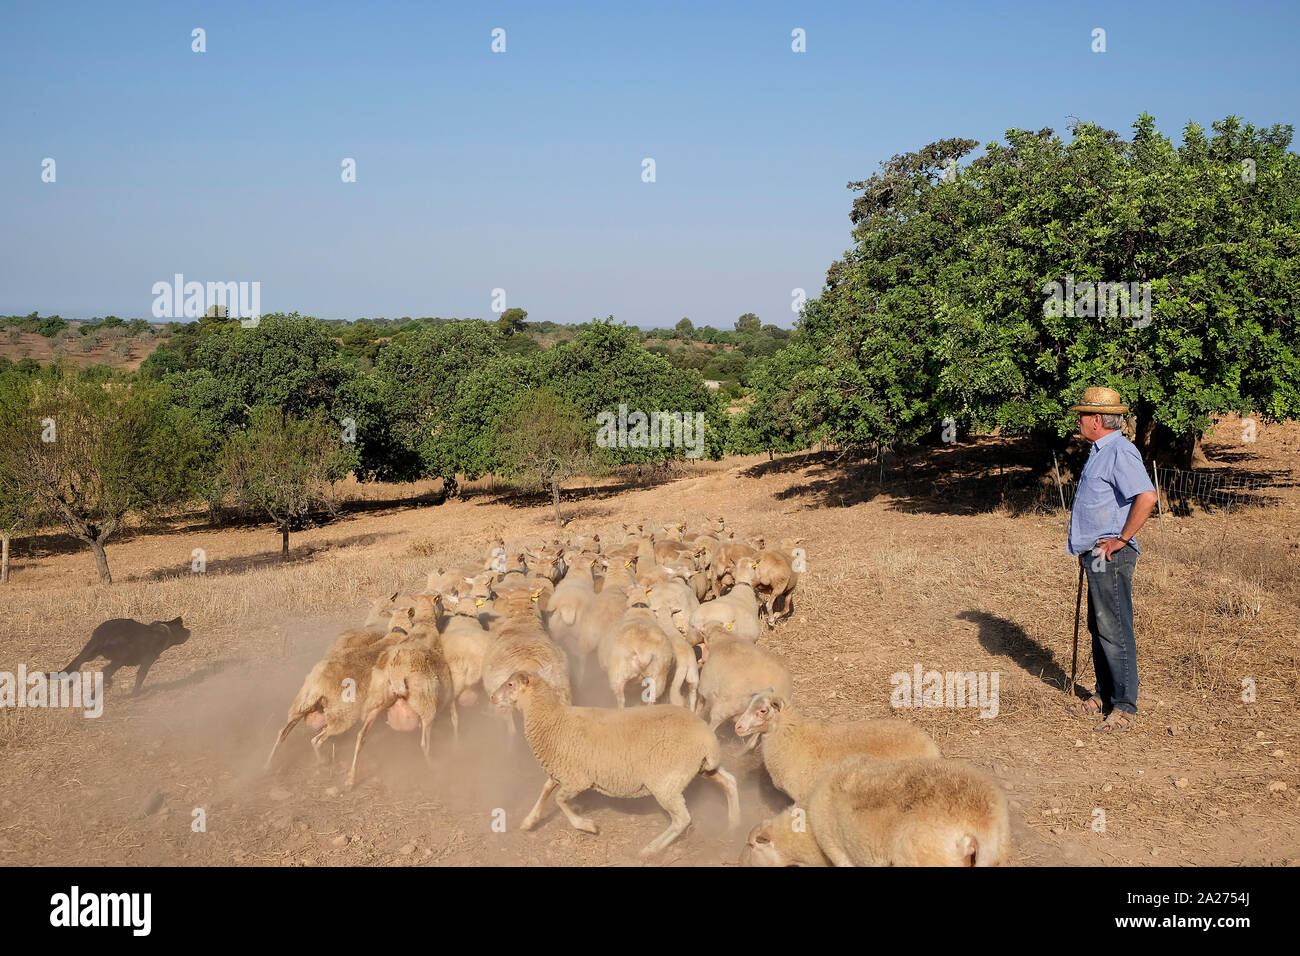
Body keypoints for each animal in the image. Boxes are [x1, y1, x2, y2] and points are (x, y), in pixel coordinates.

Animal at [57, 621, 189, 697]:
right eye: (181, 628)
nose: (189, 631)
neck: (162, 633)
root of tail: (103, 635)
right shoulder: (147, 660)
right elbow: (140, 677)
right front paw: (134, 695)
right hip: (119, 658)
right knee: (105, 671)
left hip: (90, 652)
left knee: (77, 663)